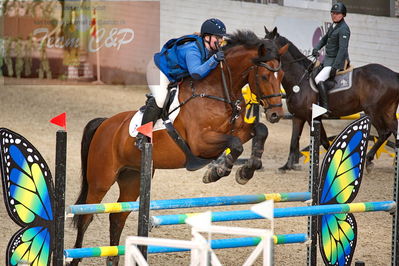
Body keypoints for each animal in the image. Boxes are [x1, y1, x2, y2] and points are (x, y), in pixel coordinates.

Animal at [72, 30, 290, 264]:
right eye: (264, 76)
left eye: (282, 75)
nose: (276, 114)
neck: (217, 91)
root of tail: (105, 123)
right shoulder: (200, 142)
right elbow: (235, 145)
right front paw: (217, 171)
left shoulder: (239, 129)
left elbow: (260, 130)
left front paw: (246, 171)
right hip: (101, 180)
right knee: (86, 215)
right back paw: (75, 257)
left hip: (131, 178)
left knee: (117, 216)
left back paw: (112, 258)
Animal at [266, 27, 399, 172]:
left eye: (267, 47)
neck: (299, 82)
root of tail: (394, 74)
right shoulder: (298, 117)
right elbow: (293, 140)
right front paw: (287, 166)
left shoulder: (312, 117)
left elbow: (325, 142)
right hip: (388, 111)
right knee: (393, 131)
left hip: (373, 111)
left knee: (384, 132)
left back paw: (369, 160)